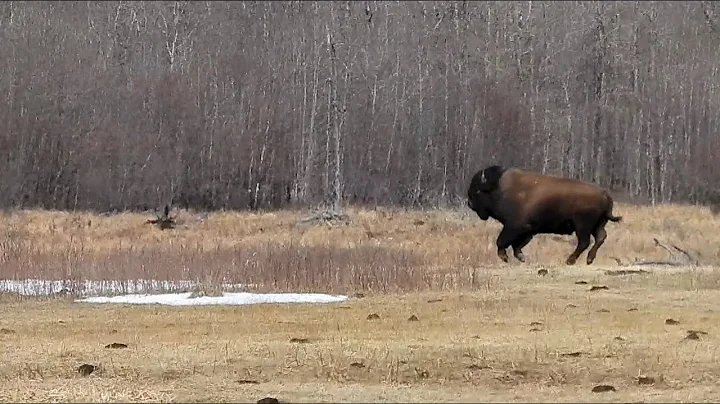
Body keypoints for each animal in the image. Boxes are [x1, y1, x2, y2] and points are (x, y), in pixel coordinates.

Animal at [466, 165, 622, 265]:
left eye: (477, 190)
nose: (469, 203)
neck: (499, 188)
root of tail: (605, 193)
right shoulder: (528, 230)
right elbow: (517, 245)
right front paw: (521, 257)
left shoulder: (514, 226)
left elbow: (501, 241)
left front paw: (505, 257)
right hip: (597, 224)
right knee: (600, 237)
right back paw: (589, 260)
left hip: (582, 226)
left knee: (584, 242)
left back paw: (570, 260)